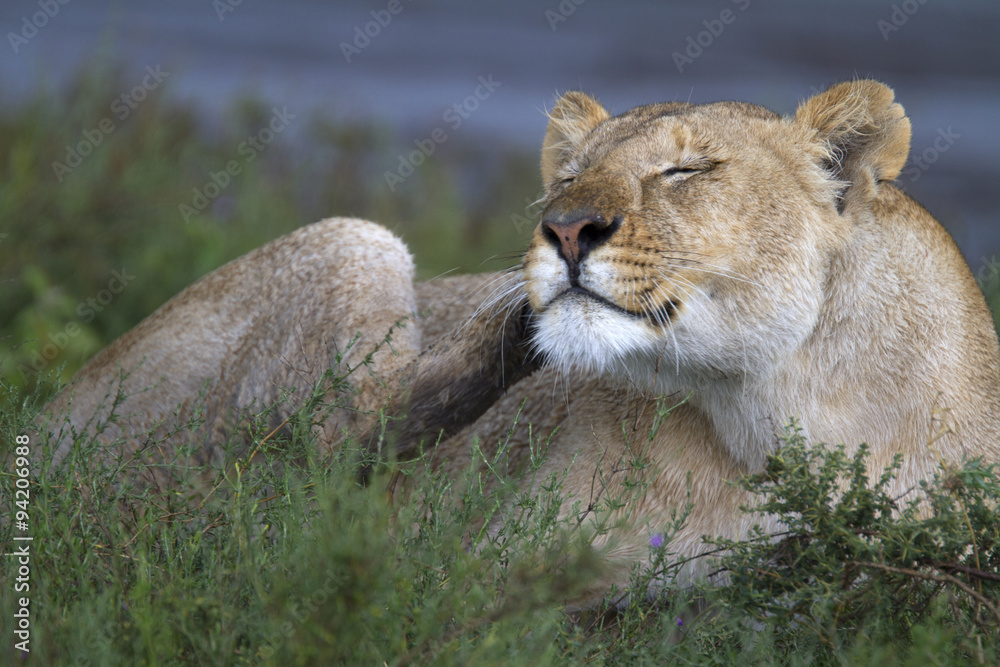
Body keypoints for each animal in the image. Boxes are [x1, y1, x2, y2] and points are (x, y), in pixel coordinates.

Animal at [40, 80, 1000, 601]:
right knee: (283, 492)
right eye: (567, 175)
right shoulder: (483, 575)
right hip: (356, 241)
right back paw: (510, 326)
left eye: (685, 169)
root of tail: (42, 429)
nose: (565, 228)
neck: (781, 409)